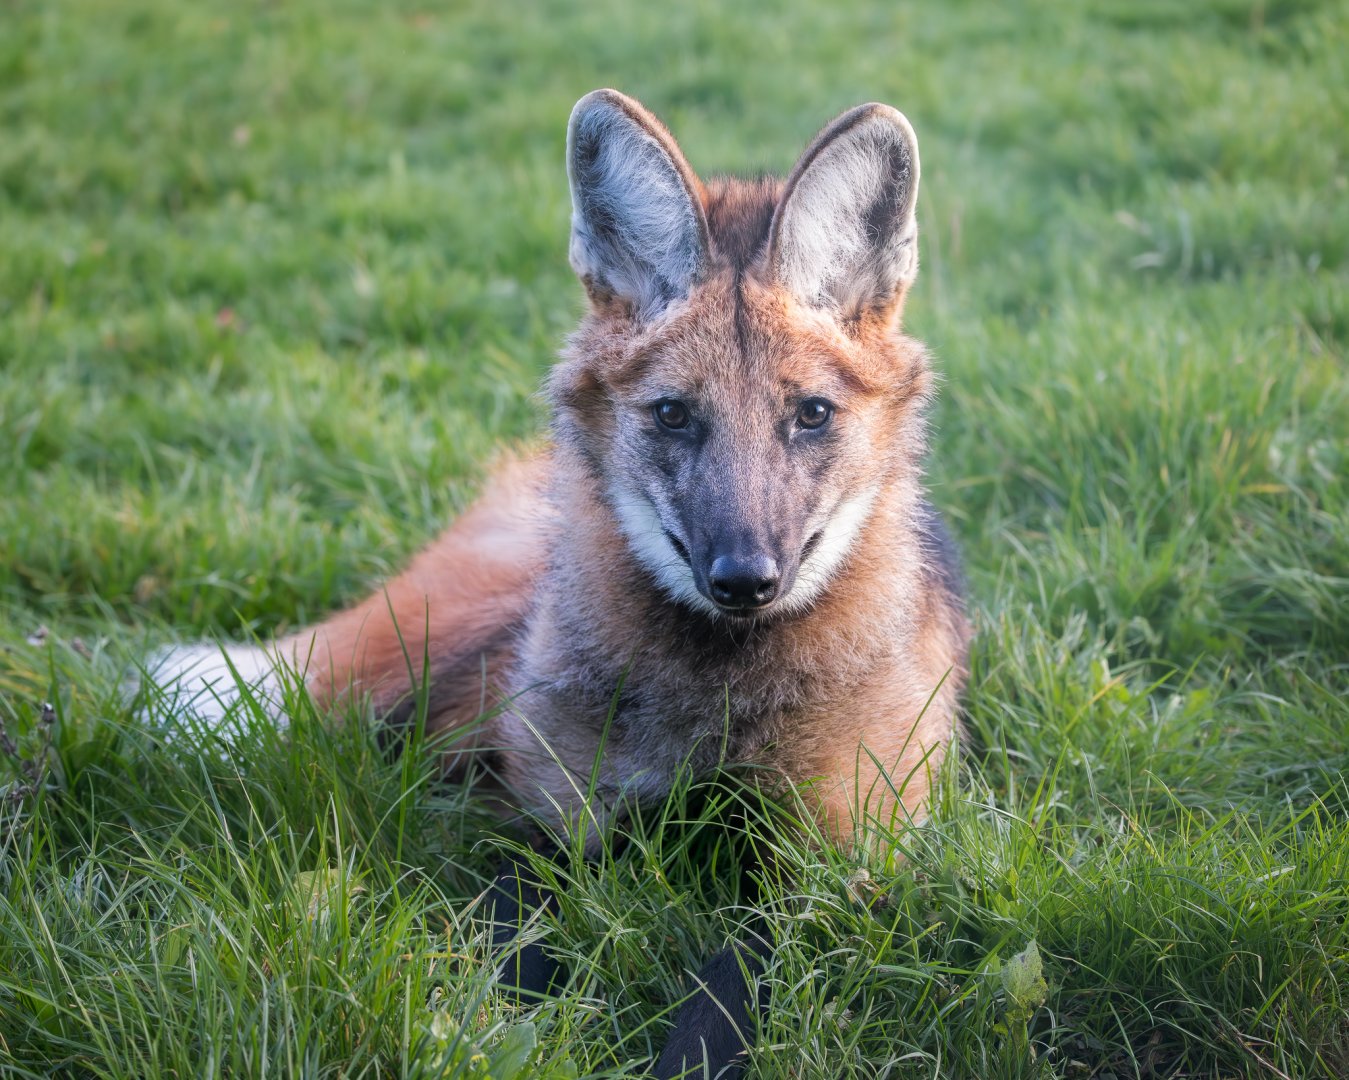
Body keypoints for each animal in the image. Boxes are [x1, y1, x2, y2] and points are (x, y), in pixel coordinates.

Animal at [154, 89, 970, 1077]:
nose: (744, 579)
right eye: (673, 415)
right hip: (429, 647)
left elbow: (728, 989)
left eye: (809, 415)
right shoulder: (551, 819)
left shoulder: (836, 857)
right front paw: (488, 1037)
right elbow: (510, 948)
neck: (713, 684)